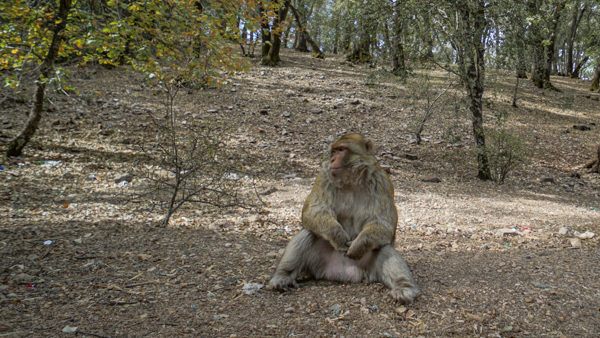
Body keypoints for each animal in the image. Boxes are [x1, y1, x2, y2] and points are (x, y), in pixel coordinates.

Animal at [270, 133, 420, 304]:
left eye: (341, 150)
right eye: (333, 151)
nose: (332, 159)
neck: (351, 181)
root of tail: (341, 273)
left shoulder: (382, 181)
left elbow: (384, 223)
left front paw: (358, 246)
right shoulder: (324, 176)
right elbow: (313, 211)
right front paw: (339, 237)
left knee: (383, 247)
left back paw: (404, 288)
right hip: (317, 262)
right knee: (308, 233)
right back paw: (283, 276)